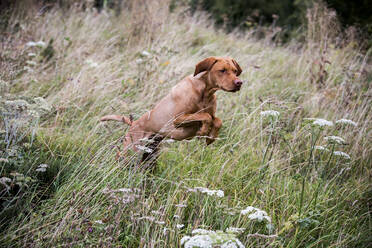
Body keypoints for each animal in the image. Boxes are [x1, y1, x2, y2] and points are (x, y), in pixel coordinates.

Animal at [100, 56, 243, 161]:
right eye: (222, 70)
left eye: (235, 71)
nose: (239, 83)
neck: (204, 93)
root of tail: (133, 123)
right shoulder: (178, 120)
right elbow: (205, 116)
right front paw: (204, 130)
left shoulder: (210, 115)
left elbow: (217, 120)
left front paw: (210, 137)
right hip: (131, 149)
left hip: (150, 154)